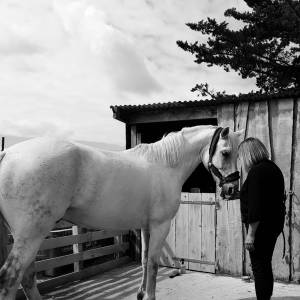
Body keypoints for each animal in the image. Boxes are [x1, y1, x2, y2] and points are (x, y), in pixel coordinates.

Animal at [0, 125, 244, 300]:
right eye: (225, 152)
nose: (232, 190)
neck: (165, 165)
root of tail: (8, 153)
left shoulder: (146, 226)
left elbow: (144, 261)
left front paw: (140, 293)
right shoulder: (160, 226)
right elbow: (153, 264)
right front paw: (149, 296)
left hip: (26, 236)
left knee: (27, 277)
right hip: (32, 234)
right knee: (11, 278)